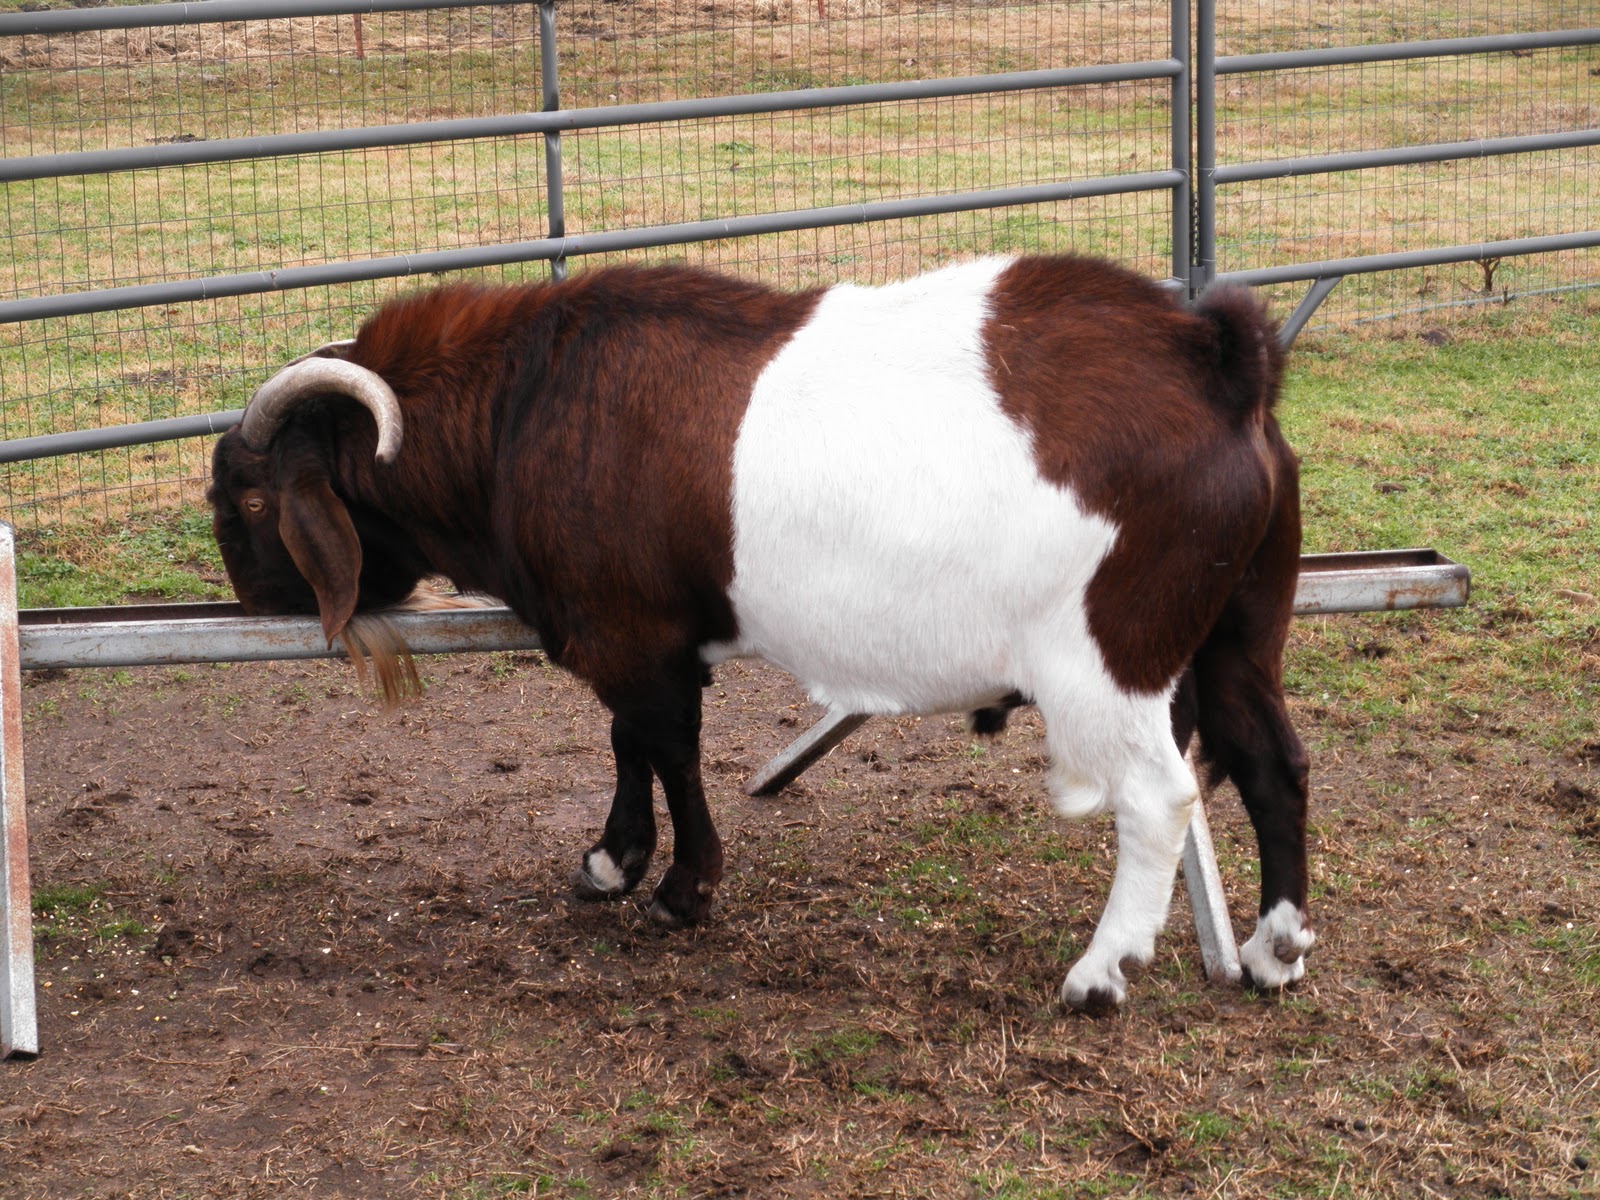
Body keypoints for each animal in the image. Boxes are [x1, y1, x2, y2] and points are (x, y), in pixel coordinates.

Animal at [207, 255, 1312, 1010]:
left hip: (1112, 653)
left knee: (1160, 797)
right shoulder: (642, 637)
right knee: (1272, 760)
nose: (246, 592)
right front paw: (613, 861)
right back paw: (1273, 949)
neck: (522, 407)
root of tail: (1218, 366)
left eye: (253, 498)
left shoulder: (630, 635)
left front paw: (679, 888)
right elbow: (629, 743)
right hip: (1238, 629)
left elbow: (665, 747)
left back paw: (1099, 972)